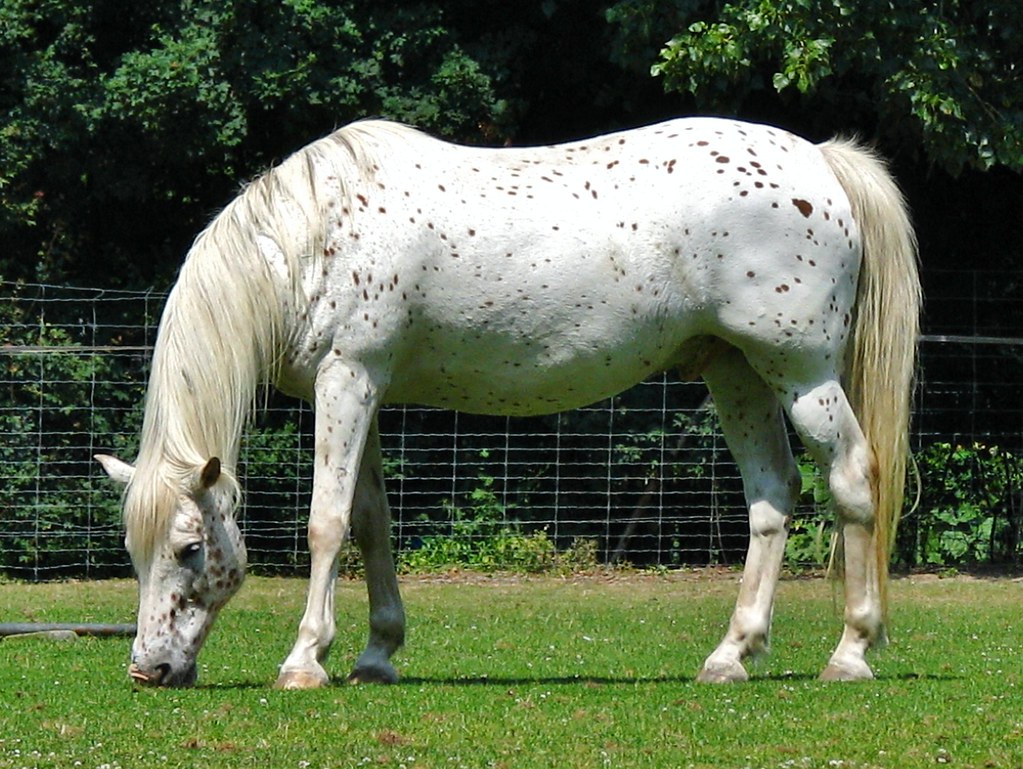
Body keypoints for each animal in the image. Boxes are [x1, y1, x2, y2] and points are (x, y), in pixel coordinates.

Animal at [96, 115, 919, 689]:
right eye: (133, 550)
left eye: (190, 548)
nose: (148, 669)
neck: (309, 237)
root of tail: (819, 161)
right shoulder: (367, 389)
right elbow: (371, 524)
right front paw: (376, 655)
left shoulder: (348, 379)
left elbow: (326, 525)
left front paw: (305, 661)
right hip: (737, 373)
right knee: (772, 498)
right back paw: (730, 654)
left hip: (801, 374)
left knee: (851, 481)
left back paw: (850, 651)